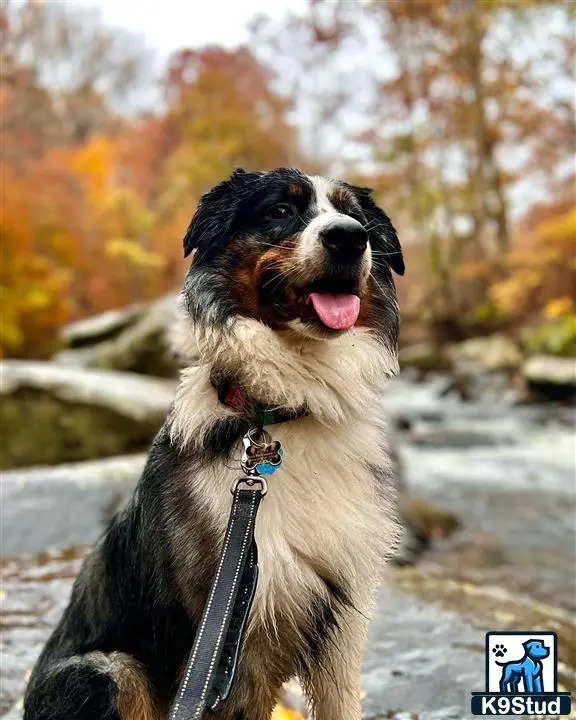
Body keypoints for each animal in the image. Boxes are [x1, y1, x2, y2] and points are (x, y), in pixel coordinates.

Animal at [24, 169, 404, 720]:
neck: (283, 408)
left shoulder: (341, 626)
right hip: (109, 670)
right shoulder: (234, 629)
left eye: (355, 217)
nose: (350, 238)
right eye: (281, 211)